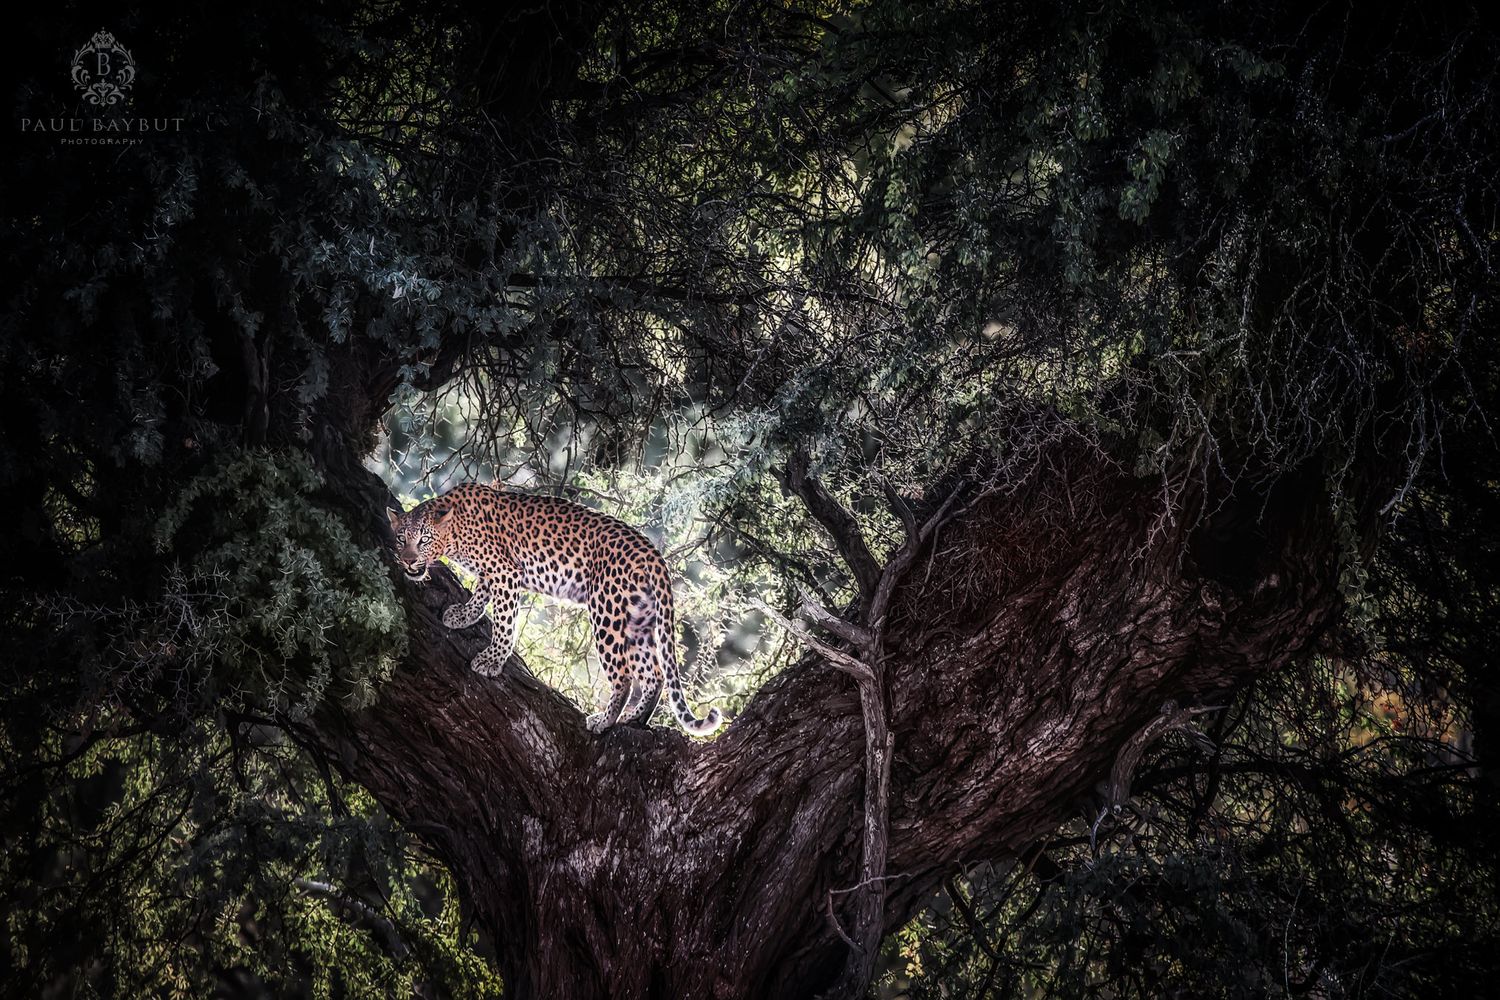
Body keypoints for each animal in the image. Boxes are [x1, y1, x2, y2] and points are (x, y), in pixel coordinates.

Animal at [386, 484, 724, 736]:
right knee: (654, 673)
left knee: (625, 678)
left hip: (607, 613)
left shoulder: (506, 572)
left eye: (424, 540)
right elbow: (481, 592)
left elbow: (505, 621)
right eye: (401, 539)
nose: (408, 561)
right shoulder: (492, 573)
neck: (454, 531)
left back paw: (604, 721)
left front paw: (493, 660)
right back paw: (634, 718)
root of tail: (653, 553)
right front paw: (463, 615)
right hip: (637, 619)